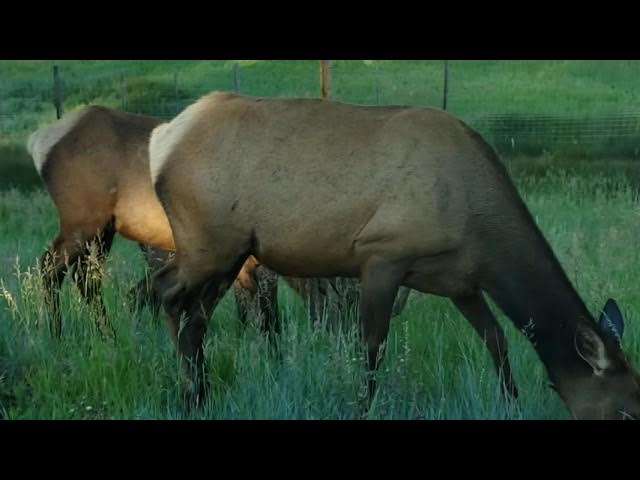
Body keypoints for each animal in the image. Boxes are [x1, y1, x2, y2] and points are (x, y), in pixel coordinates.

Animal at [27, 105, 409, 340]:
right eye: (343, 301)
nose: (349, 340)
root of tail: (38, 140)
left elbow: (249, 312)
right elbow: (268, 318)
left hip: (104, 229)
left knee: (86, 278)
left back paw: (108, 336)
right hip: (81, 220)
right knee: (48, 267)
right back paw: (56, 334)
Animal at [149, 91, 640, 419]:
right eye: (626, 410)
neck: (478, 230)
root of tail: (162, 138)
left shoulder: (461, 281)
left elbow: (496, 340)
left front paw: (510, 402)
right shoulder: (382, 255)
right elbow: (372, 346)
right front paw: (363, 407)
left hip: (230, 252)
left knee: (193, 312)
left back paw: (200, 394)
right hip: (209, 241)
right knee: (169, 294)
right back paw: (189, 395)